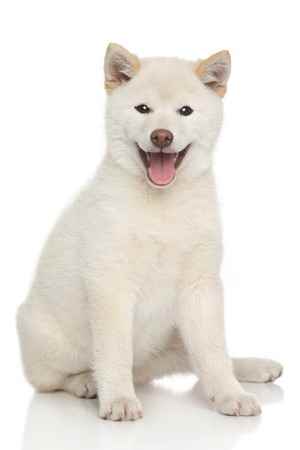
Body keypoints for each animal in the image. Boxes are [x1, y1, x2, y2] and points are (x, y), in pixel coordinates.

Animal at [17, 44, 284, 420]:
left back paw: (254, 367)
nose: (161, 136)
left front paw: (230, 394)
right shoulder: (111, 285)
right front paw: (118, 399)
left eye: (185, 111)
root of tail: (143, 370)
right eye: (143, 109)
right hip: (44, 340)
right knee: (51, 379)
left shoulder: (200, 287)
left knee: (197, 357)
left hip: (173, 333)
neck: (161, 205)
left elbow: (214, 351)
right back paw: (86, 382)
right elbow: (113, 351)